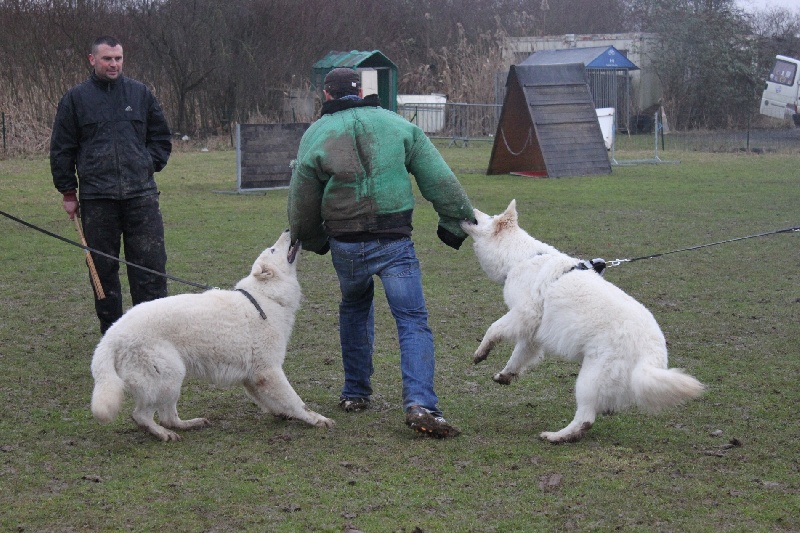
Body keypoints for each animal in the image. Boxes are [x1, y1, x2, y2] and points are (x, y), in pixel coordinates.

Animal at [89, 230, 332, 440]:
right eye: (273, 249)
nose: (289, 229)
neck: (265, 297)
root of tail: (111, 336)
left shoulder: (253, 377)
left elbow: (272, 401)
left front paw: (283, 414)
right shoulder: (269, 370)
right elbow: (296, 401)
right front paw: (315, 419)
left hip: (172, 380)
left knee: (168, 417)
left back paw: (189, 424)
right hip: (168, 376)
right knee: (141, 415)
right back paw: (163, 434)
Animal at [460, 200, 704, 440]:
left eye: (490, 216)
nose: (471, 208)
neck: (522, 258)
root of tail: (651, 352)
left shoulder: (523, 314)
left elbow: (493, 328)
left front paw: (481, 352)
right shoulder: (532, 334)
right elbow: (517, 356)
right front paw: (505, 374)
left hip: (589, 379)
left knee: (585, 419)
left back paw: (557, 436)